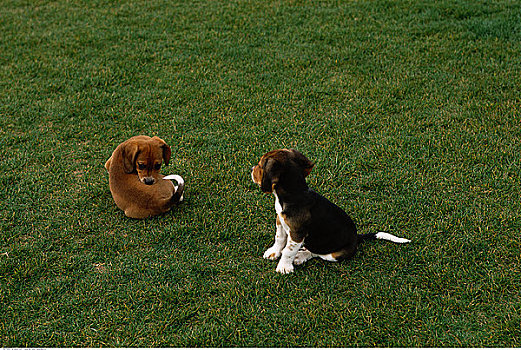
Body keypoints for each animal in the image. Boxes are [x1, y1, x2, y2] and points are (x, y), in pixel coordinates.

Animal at [250, 148, 408, 274]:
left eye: (260, 165)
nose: (251, 169)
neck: (295, 192)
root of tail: (357, 238)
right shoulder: (280, 221)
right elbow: (279, 238)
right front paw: (273, 252)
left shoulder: (297, 233)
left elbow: (289, 250)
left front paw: (284, 267)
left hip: (334, 255)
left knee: (317, 254)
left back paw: (300, 256)